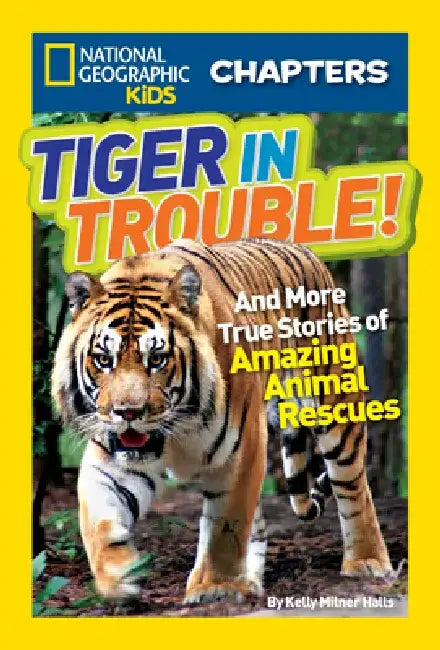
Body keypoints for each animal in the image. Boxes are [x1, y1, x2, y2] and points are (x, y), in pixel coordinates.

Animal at [52, 238, 392, 602]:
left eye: (157, 359)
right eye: (104, 360)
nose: (128, 413)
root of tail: (304, 250)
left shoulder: (242, 449)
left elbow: (226, 526)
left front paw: (215, 587)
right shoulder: (110, 458)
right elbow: (96, 521)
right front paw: (119, 576)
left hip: (335, 405)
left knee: (353, 488)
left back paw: (367, 563)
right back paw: (252, 581)